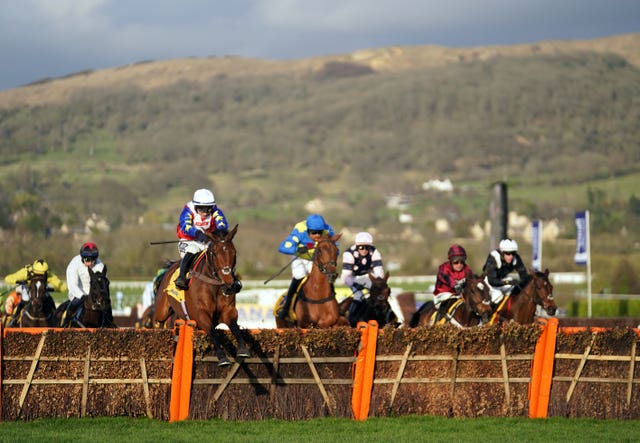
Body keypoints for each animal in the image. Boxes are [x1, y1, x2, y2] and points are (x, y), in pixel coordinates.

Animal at [153, 225, 250, 368]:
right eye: (214, 253)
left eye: (234, 252)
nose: (229, 283)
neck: (215, 285)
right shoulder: (201, 315)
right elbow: (213, 333)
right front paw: (222, 357)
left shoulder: (228, 311)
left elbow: (235, 328)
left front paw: (243, 349)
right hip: (162, 310)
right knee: (159, 321)